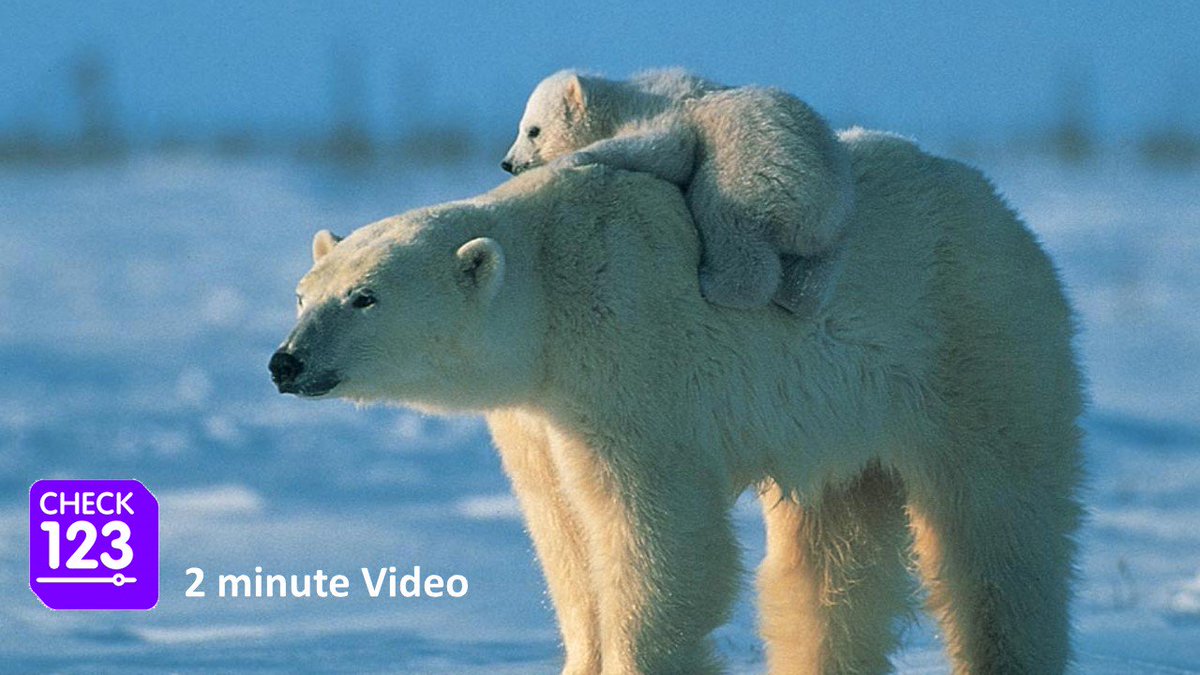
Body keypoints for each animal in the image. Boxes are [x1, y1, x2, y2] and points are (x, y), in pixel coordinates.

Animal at [271, 130, 1084, 674]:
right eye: (304, 294)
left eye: (365, 297)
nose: (287, 361)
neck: (552, 286)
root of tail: (1004, 210)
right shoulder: (539, 418)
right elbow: (564, 535)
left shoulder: (631, 361)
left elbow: (656, 532)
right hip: (843, 419)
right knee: (832, 557)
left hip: (974, 345)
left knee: (999, 527)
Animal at [501, 69, 855, 317]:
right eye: (523, 127)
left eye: (533, 130)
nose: (507, 163)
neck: (625, 98)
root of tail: (815, 215)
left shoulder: (662, 112)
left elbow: (668, 149)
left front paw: (573, 157)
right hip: (835, 220)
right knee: (817, 270)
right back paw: (796, 295)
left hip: (752, 172)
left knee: (725, 220)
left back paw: (713, 283)